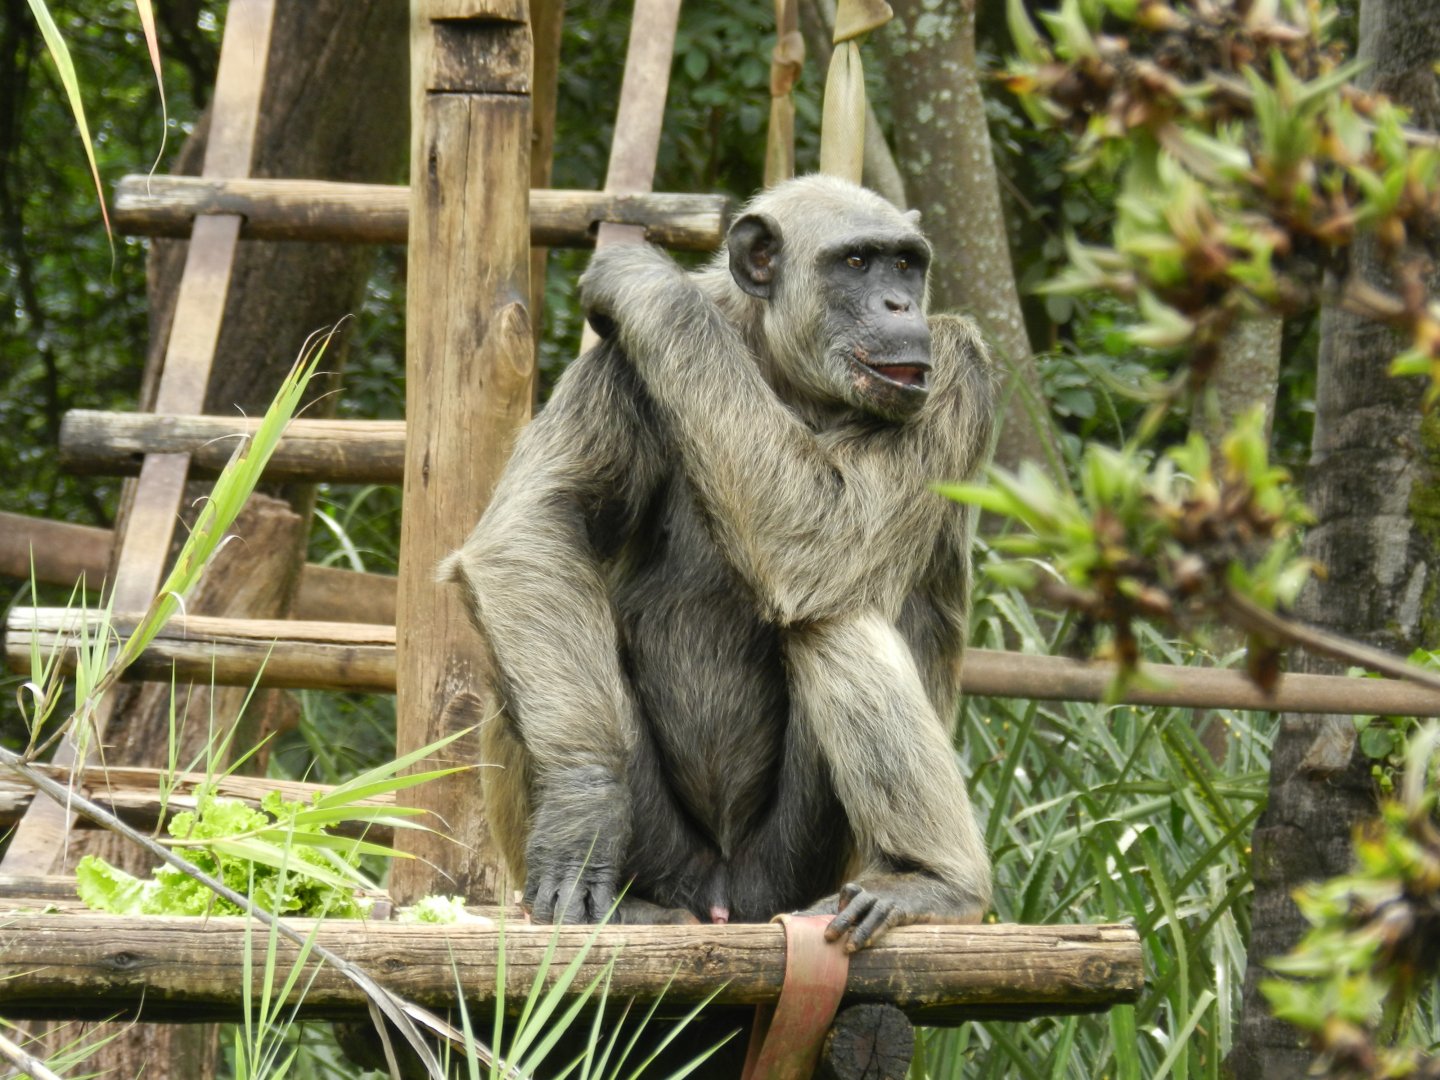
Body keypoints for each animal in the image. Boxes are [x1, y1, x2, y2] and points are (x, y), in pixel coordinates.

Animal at [442, 174, 997, 950]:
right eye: (857, 262)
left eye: (907, 264)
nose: (900, 304)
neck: (787, 368)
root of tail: (723, 899)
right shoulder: (615, 365)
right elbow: (537, 526)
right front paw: (584, 806)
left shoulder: (956, 365)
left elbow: (826, 533)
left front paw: (650, 285)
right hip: (670, 857)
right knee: (532, 611)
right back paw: (632, 901)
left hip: (794, 870)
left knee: (833, 611)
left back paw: (930, 880)